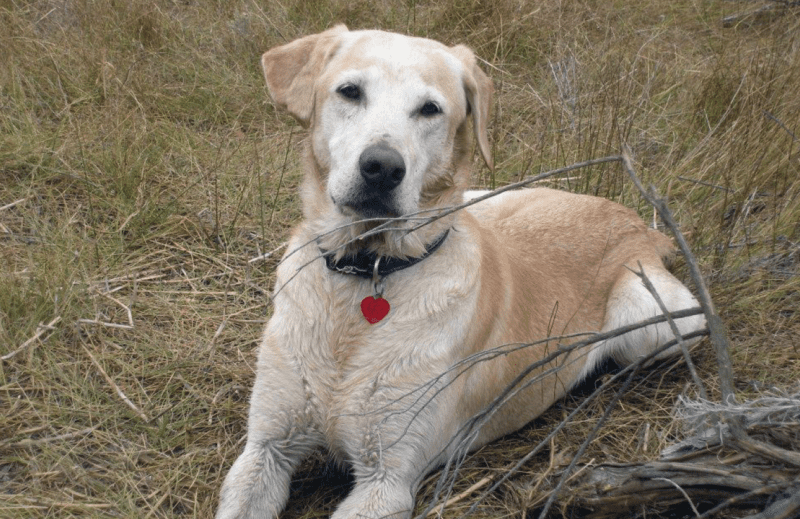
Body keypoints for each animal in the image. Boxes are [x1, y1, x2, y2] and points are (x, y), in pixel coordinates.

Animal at [216, 25, 704, 519]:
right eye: (350, 91)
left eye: (430, 109)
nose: (382, 168)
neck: (366, 273)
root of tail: (637, 220)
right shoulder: (265, 448)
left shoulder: (386, 481)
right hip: (489, 194)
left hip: (658, 322)